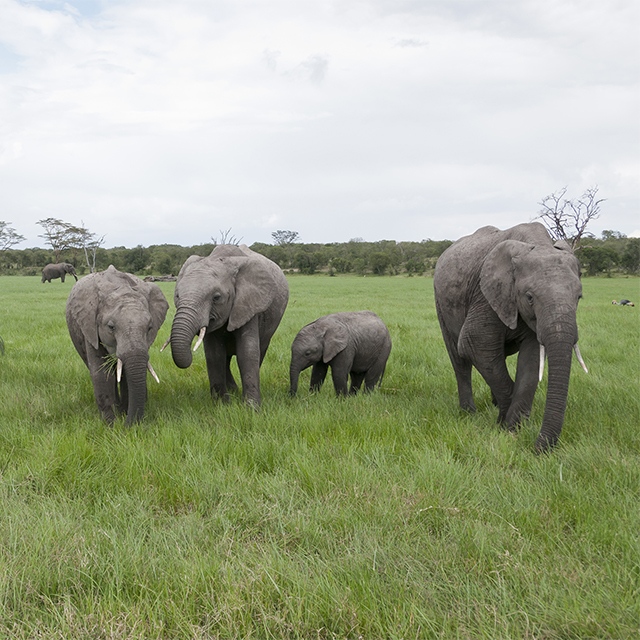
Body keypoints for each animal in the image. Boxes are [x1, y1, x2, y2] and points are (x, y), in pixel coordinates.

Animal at [66, 265, 169, 425]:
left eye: (150, 328)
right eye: (111, 327)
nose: (128, 426)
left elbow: (126, 374)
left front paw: (123, 415)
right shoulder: (90, 327)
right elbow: (101, 372)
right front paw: (111, 424)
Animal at [167, 244, 289, 407]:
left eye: (216, 297)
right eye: (177, 296)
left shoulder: (249, 304)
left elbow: (247, 353)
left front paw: (251, 408)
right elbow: (214, 355)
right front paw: (222, 405)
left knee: (261, 350)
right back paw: (233, 391)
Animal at [433, 222, 588, 452]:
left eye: (579, 297)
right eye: (529, 297)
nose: (537, 449)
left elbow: (531, 361)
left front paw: (513, 428)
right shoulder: (486, 294)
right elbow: (473, 344)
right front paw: (505, 427)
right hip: (441, 302)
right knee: (460, 360)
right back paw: (468, 413)